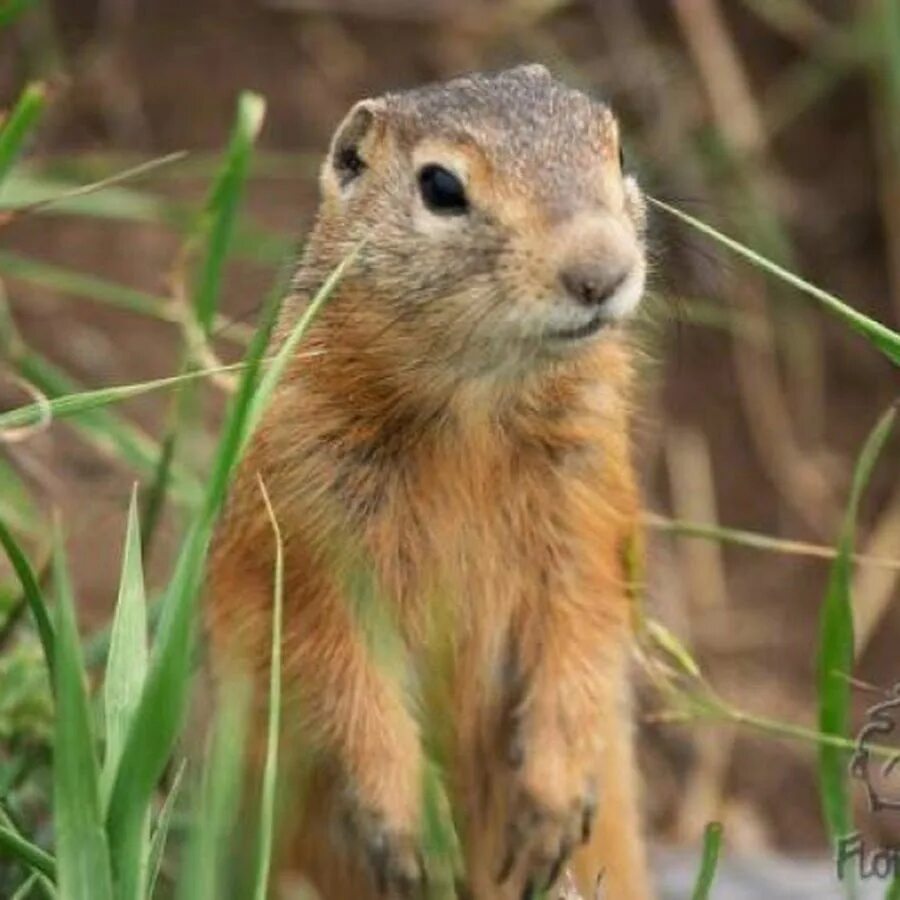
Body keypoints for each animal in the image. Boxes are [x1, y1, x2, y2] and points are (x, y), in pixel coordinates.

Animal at [207, 65, 652, 900]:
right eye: (441, 186)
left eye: (616, 151)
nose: (602, 273)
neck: (474, 408)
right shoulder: (306, 519)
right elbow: (339, 670)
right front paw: (412, 836)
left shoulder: (589, 493)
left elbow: (584, 631)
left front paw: (550, 813)